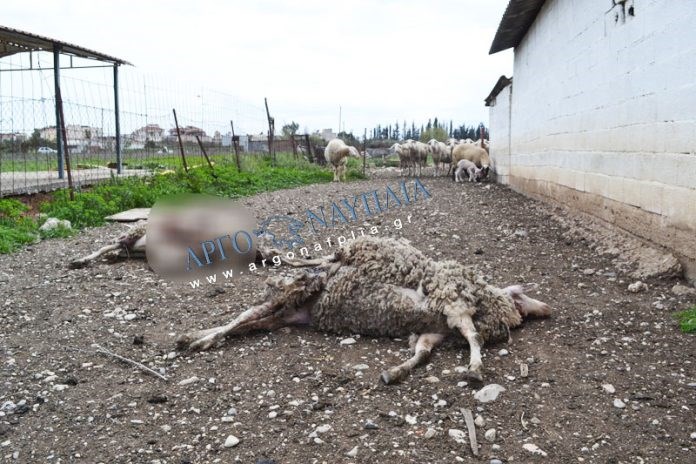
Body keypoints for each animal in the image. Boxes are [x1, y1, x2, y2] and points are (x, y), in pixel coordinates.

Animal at [177, 235, 551, 384]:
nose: (545, 309)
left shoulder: (440, 322)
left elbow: (427, 351)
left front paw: (396, 371)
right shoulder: (448, 309)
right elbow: (456, 340)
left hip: (286, 308)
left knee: (250, 321)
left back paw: (196, 336)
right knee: (249, 317)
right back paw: (198, 338)